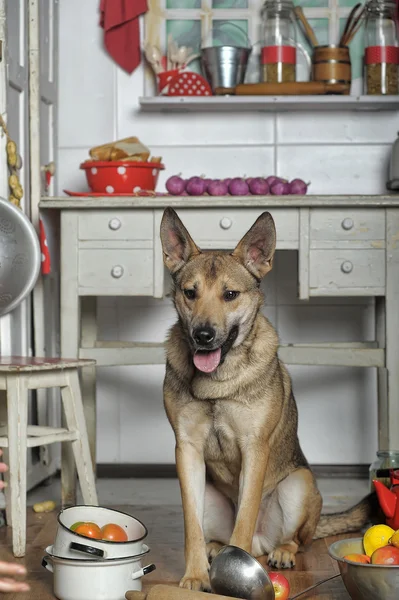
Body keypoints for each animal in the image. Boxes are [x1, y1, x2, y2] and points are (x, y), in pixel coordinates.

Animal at [160, 206, 378, 592]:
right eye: (190, 292)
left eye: (230, 294)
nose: (203, 335)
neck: (218, 380)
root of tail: (264, 543)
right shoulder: (186, 451)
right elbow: (191, 527)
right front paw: (196, 575)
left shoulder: (254, 447)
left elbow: (244, 518)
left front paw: (235, 570)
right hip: (208, 493)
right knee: (215, 534)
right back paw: (215, 549)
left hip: (298, 485)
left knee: (294, 539)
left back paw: (281, 552)